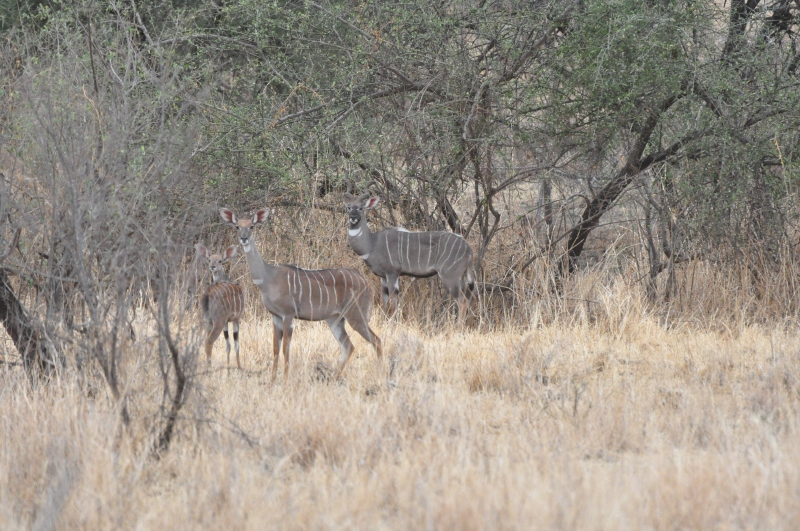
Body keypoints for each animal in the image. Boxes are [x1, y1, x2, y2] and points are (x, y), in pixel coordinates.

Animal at [219, 208, 382, 382]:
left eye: (252, 226)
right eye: (237, 226)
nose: (243, 238)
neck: (267, 278)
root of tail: (366, 283)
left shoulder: (288, 314)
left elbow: (286, 348)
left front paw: (285, 380)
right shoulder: (275, 316)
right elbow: (275, 348)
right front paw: (272, 381)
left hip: (356, 316)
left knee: (376, 340)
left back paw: (379, 373)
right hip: (334, 319)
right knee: (348, 346)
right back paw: (333, 379)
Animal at [342, 193, 476, 321]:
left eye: (360, 208)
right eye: (348, 207)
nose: (353, 217)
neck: (372, 244)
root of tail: (468, 248)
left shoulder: (392, 273)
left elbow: (393, 303)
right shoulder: (383, 277)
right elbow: (384, 303)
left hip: (450, 276)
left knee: (463, 301)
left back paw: (458, 326)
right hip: (460, 278)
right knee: (470, 298)